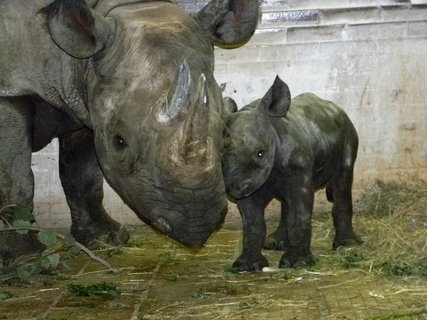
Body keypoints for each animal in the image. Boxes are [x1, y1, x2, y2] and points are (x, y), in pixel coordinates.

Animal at [222, 76, 362, 272]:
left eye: (260, 153)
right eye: (220, 157)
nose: (233, 188)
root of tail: (337, 108)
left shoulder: (295, 172)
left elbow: (299, 215)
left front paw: (298, 263)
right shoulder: (250, 182)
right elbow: (252, 223)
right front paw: (247, 265)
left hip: (348, 131)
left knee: (342, 181)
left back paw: (347, 245)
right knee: (286, 202)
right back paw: (276, 244)